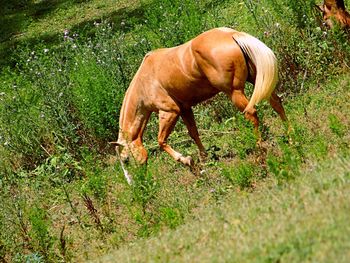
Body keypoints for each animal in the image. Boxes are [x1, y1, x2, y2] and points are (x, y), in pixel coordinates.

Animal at [115, 27, 288, 184]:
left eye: (126, 160)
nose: (134, 184)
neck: (145, 81)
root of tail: (231, 34)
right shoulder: (185, 109)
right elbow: (193, 133)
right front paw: (204, 158)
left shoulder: (170, 112)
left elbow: (161, 141)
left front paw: (188, 161)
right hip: (256, 79)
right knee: (276, 103)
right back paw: (290, 136)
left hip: (234, 92)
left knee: (251, 113)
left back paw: (260, 153)